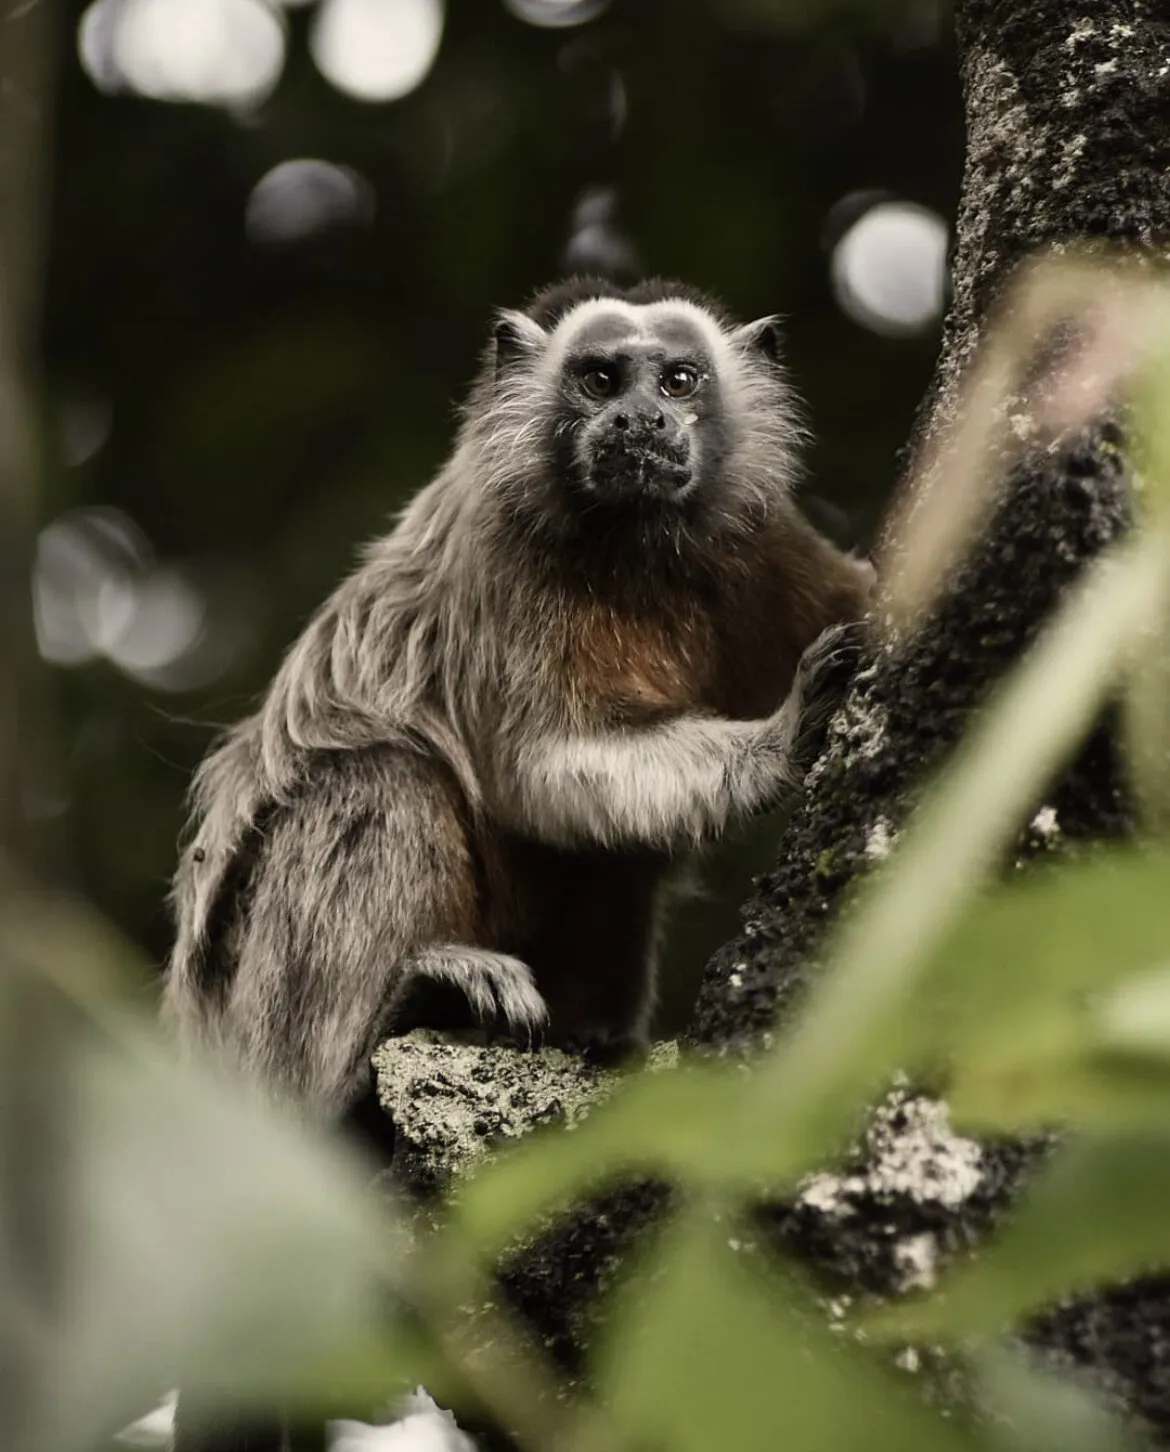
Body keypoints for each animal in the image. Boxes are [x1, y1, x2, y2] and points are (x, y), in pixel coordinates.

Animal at [161, 275, 874, 1131]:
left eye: (678, 381)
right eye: (600, 379)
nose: (640, 419)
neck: (640, 552)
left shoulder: (772, 544)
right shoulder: (504, 559)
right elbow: (541, 769)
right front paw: (784, 739)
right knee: (376, 779)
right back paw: (372, 1048)